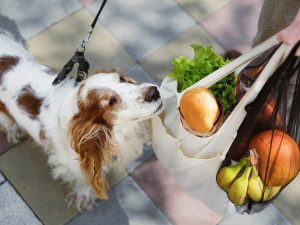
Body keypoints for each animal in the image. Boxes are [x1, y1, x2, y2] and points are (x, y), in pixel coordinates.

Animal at [0, 32, 164, 210]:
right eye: (111, 102)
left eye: (121, 78)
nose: (154, 92)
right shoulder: (71, 162)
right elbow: (82, 179)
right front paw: (83, 196)